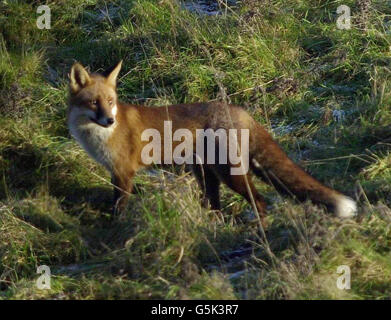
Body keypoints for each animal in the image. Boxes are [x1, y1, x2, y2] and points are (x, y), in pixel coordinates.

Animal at [68, 61, 358, 226]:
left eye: (110, 101)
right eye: (94, 102)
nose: (108, 120)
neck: (97, 136)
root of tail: (239, 110)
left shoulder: (124, 172)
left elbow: (119, 207)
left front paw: (114, 229)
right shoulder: (115, 172)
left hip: (230, 173)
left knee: (260, 201)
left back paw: (260, 233)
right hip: (207, 175)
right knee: (215, 207)